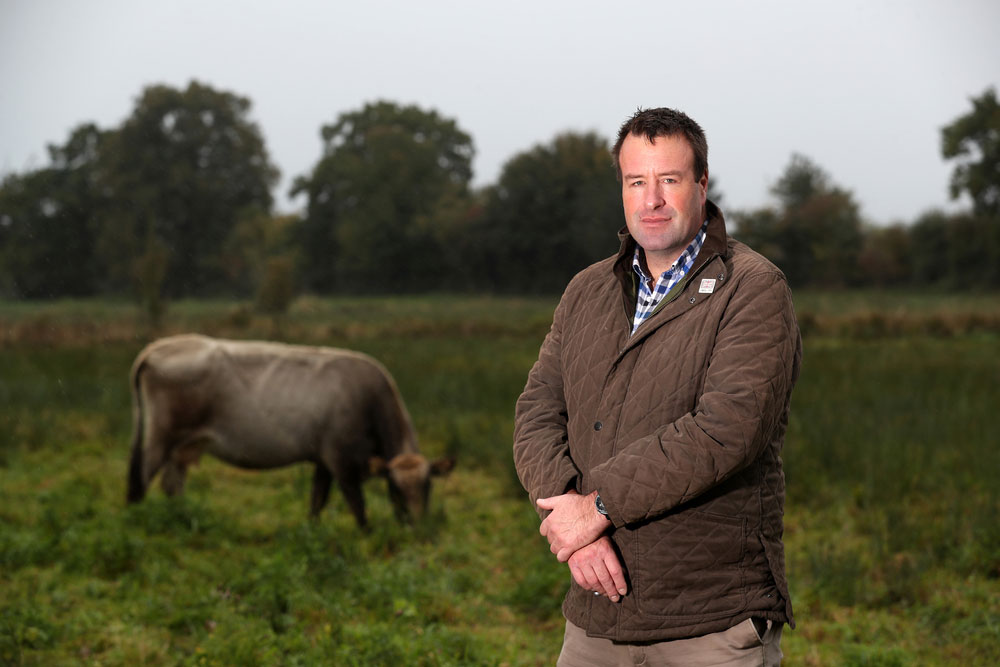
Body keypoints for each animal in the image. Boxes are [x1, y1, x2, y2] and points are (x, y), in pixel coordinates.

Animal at [126, 334, 458, 528]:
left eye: (428, 485)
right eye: (396, 487)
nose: (417, 526)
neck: (370, 401)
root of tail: (160, 345)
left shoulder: (323, 460)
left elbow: (316, 501)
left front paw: (311, 534)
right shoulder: (341, 460)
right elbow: (359, 508)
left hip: (181, 446)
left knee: (172, 484)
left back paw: (181, 519)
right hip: (160, 437)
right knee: (140, 480)